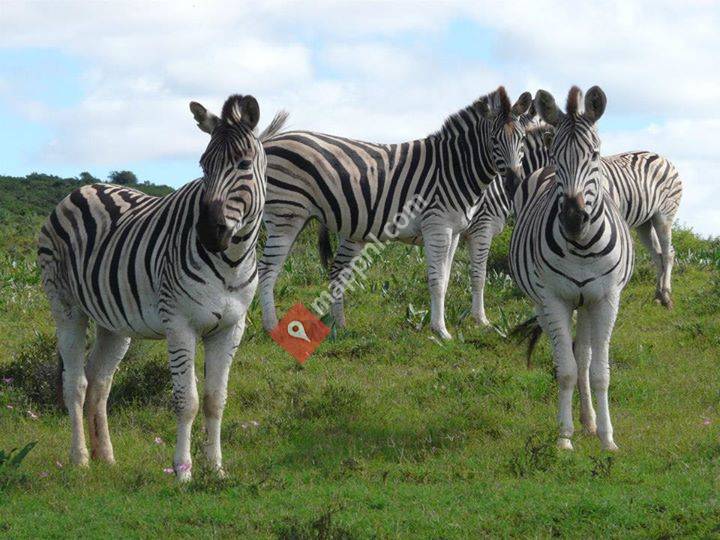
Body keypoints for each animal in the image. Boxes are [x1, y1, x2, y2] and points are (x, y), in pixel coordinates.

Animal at [38, 94, 287, 481]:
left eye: (244, 164)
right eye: (203, 165)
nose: (208, 233)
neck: (230, 262)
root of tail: (83, 188)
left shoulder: (232, 328)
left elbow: (216, 400)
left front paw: (216, 469)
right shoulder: (180, 324)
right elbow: (187, 401)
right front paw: (183, 471)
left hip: (113, 322)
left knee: (100, 381)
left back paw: (105, 456)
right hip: (66, 307)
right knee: (75, 383)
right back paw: (80, 459)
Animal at [258, 86, 533, 340]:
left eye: (521, 138)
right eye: (494, 140)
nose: (513, 182)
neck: (455, 168)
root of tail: (269, 142)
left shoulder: (455, 231)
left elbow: (446, 279)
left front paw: (458, 323)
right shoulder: (439, 227)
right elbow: (438, 280)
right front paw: (441, 330)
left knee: (331, 270)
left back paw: (338, 325)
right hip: (285, 214)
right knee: (266, 268)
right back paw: (271, 328)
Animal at [508, 86, 634, 451]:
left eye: (594, 154)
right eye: (555, 154)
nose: (573, 219)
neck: (581, 246)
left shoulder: (606, 299)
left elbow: (600, 372)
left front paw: (607, 439)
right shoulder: (553, 299)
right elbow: (565, 369)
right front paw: (564, 438)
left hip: (587, 302)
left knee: (586, 358)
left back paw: (590, 422)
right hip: (544, 301)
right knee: (571, 358)